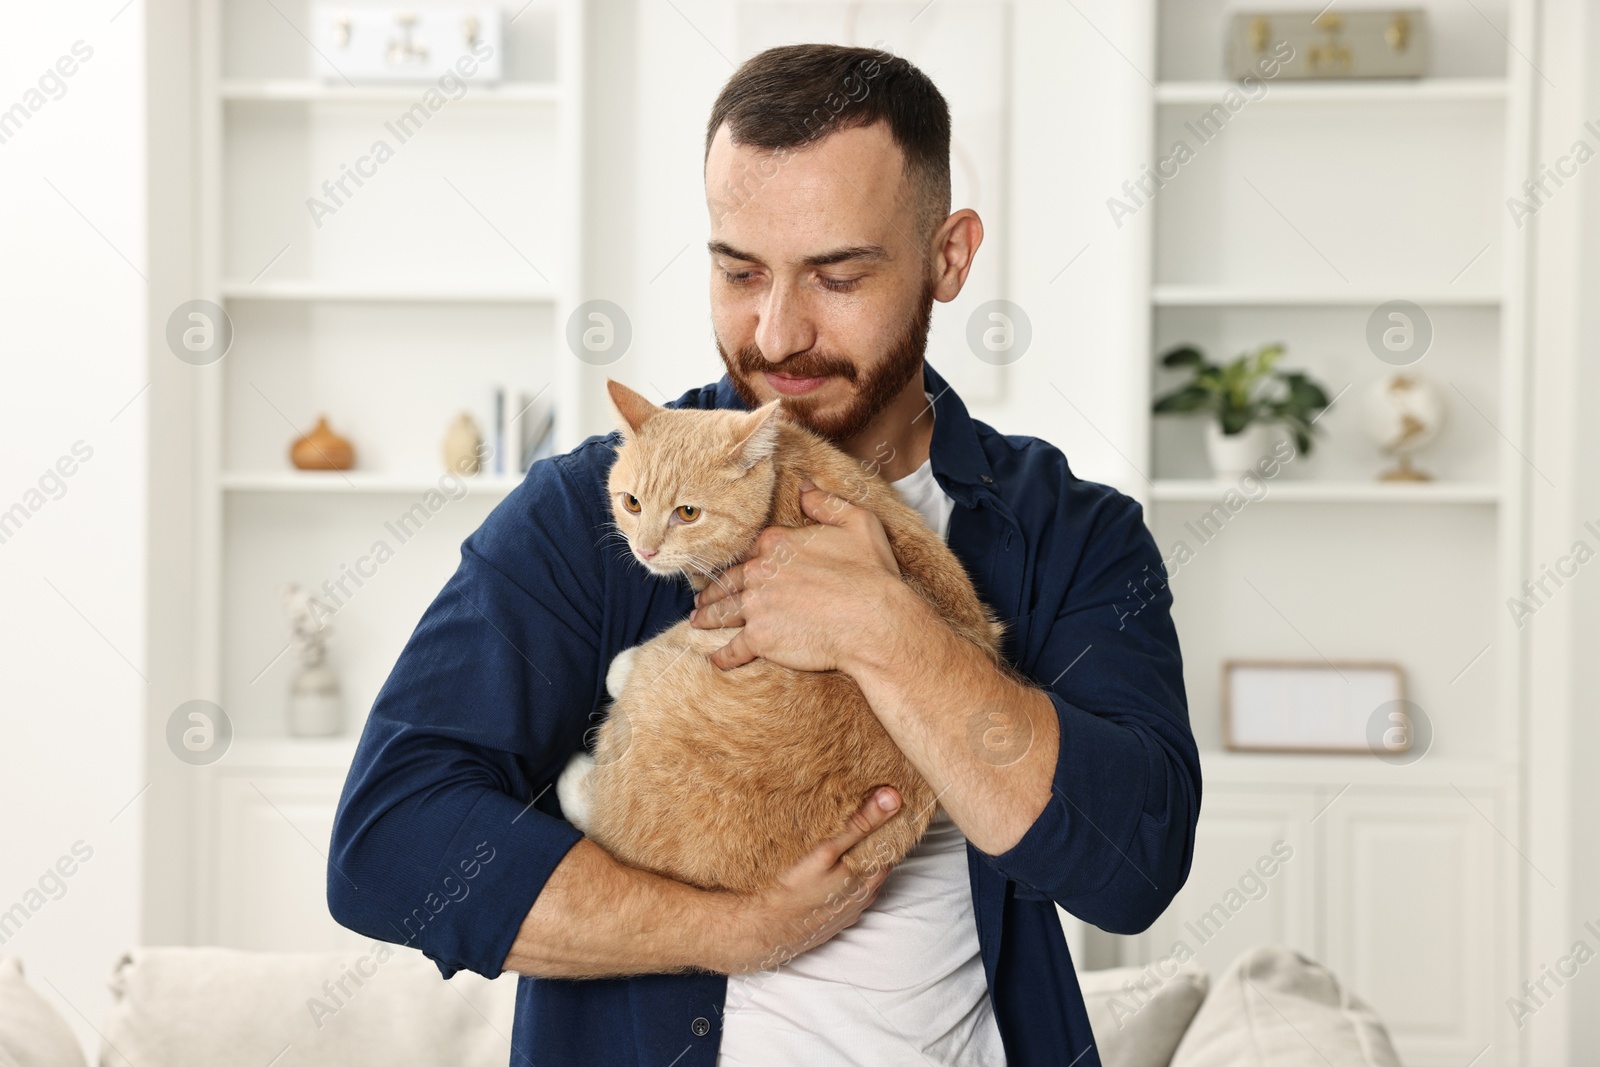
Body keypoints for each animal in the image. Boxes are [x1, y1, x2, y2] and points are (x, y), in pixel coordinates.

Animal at [553, 379, 998, 895]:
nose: (644, 549)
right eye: (632, 503)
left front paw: (618, 667)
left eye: (688, 513)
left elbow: (659, 646)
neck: (785, 472)